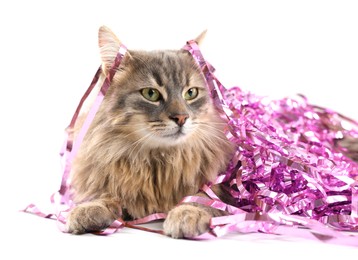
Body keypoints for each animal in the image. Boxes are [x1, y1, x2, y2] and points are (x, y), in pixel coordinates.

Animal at [65, 25, 235, 238]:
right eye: (151, 94)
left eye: (191, 93)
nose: (181, 117)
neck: (159, 159)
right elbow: (106, 196)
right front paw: (88, 210)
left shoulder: (219, 186)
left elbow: (200, 199)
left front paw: (186, 215)